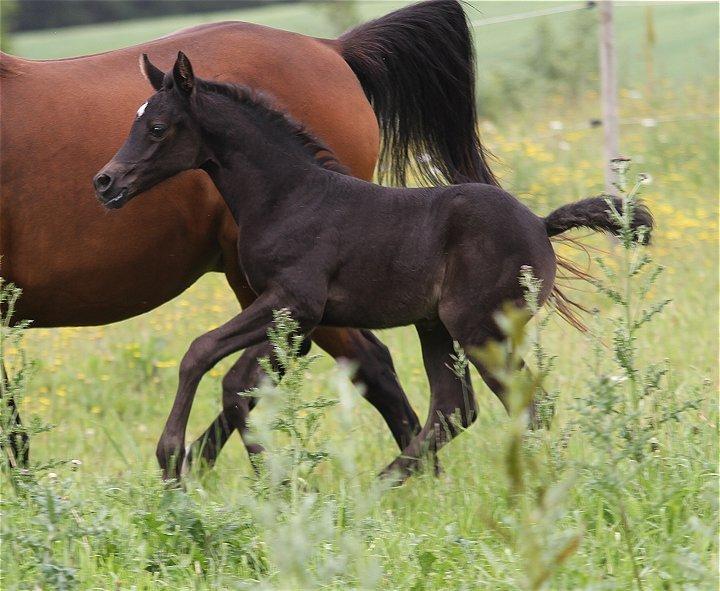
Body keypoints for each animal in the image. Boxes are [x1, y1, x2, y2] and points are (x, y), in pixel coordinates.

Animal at [93, 53, 648, 484]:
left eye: (156, 127)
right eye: (134, 121)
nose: (105, 182)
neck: (287, 197)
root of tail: (539, 222)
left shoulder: (296, 303)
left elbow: (200, 353)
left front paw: (173, 460)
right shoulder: (292, 318)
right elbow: (237, 383)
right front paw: (273, 477)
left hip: (477, 327)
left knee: (521, 402)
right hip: (435, 325)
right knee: (455, 408)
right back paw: (386, 485)